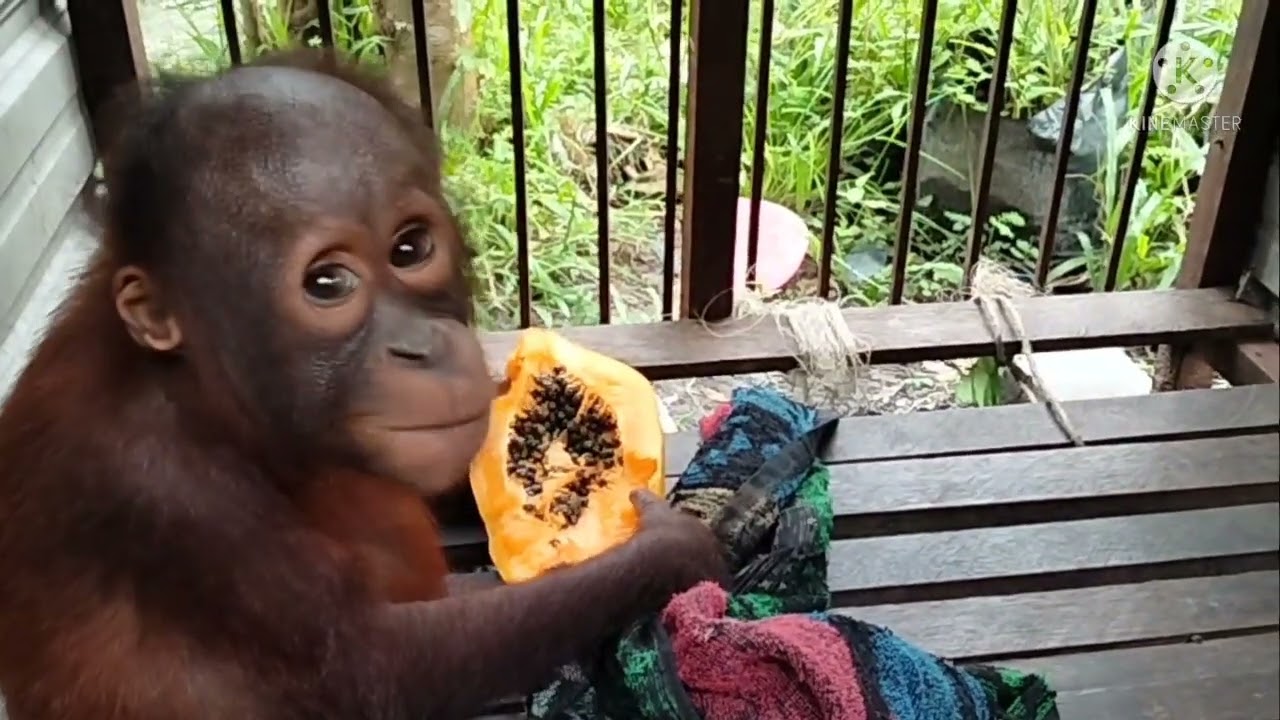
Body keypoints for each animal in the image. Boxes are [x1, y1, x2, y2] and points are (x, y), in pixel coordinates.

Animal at [0, 48, 726, 720]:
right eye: (327, 283)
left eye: (410, 248)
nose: (424, 347)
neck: (211, 400)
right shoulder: (166, 490)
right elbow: (378, 666)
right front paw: (673, 548)